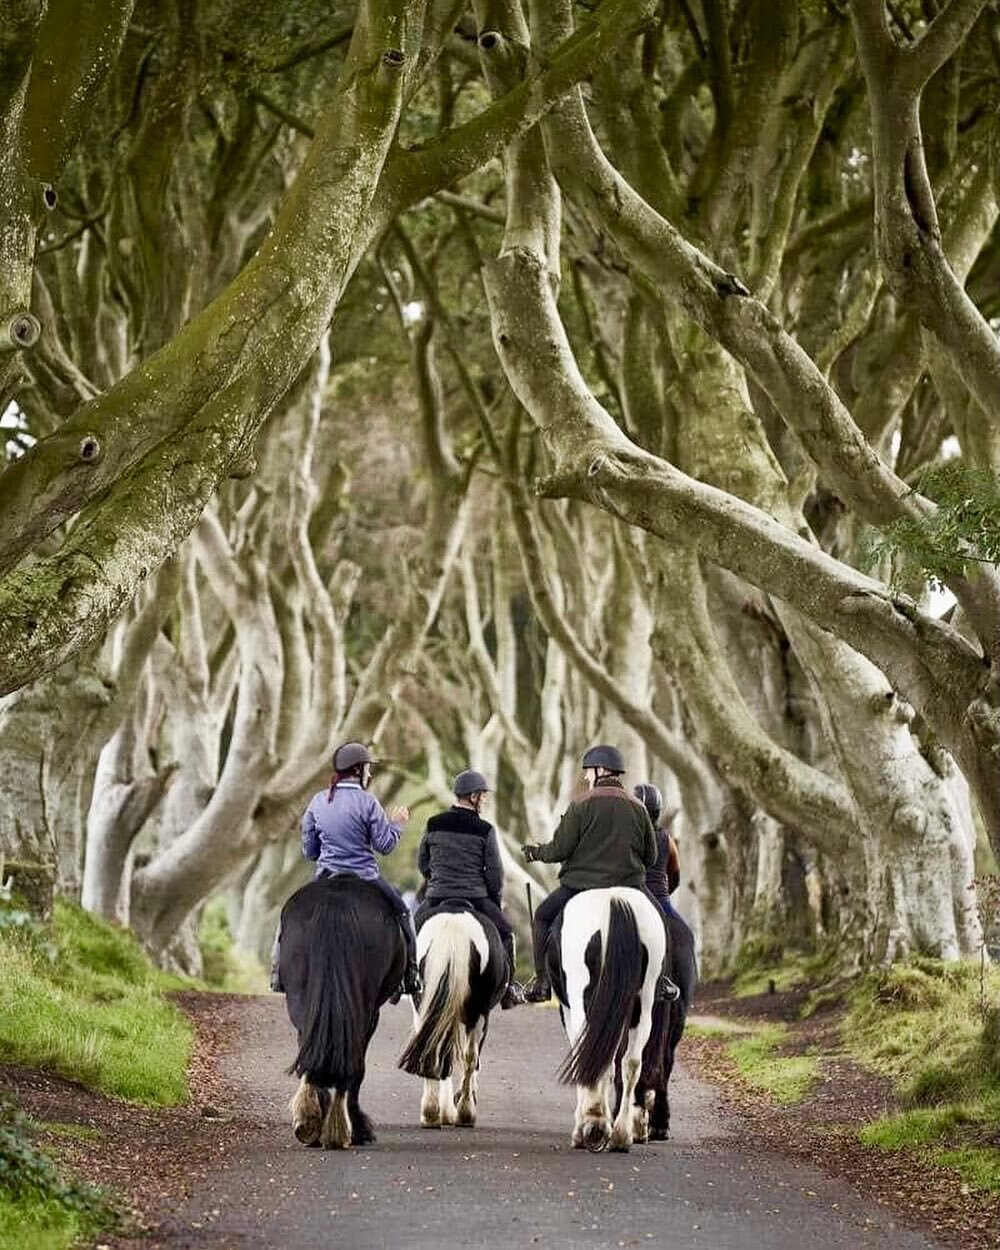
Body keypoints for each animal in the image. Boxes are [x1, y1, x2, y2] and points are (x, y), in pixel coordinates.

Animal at [278, 875, 405, 1145]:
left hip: (299, 998)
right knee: (353, 1059)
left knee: (308, 1045)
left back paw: (311, 1121)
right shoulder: (372, 1012)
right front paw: (358, 1127)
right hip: (364, 1006)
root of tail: (335, 898)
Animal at [397, 905, 507, 1130]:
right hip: (479, 1014)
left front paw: (445, 1111)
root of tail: (453, 924)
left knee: (431, 1048)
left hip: (424, 1007)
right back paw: (464, 1112)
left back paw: (431, 1113)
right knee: (469, 1056)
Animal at [550, 890, 670, 1150]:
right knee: (631, 1063)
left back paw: (592, 1127)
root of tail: (615, 899)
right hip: (643, 1003)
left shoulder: (568, 1010)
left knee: (593, 1057)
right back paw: (621, 1135)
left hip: (583, 1001)